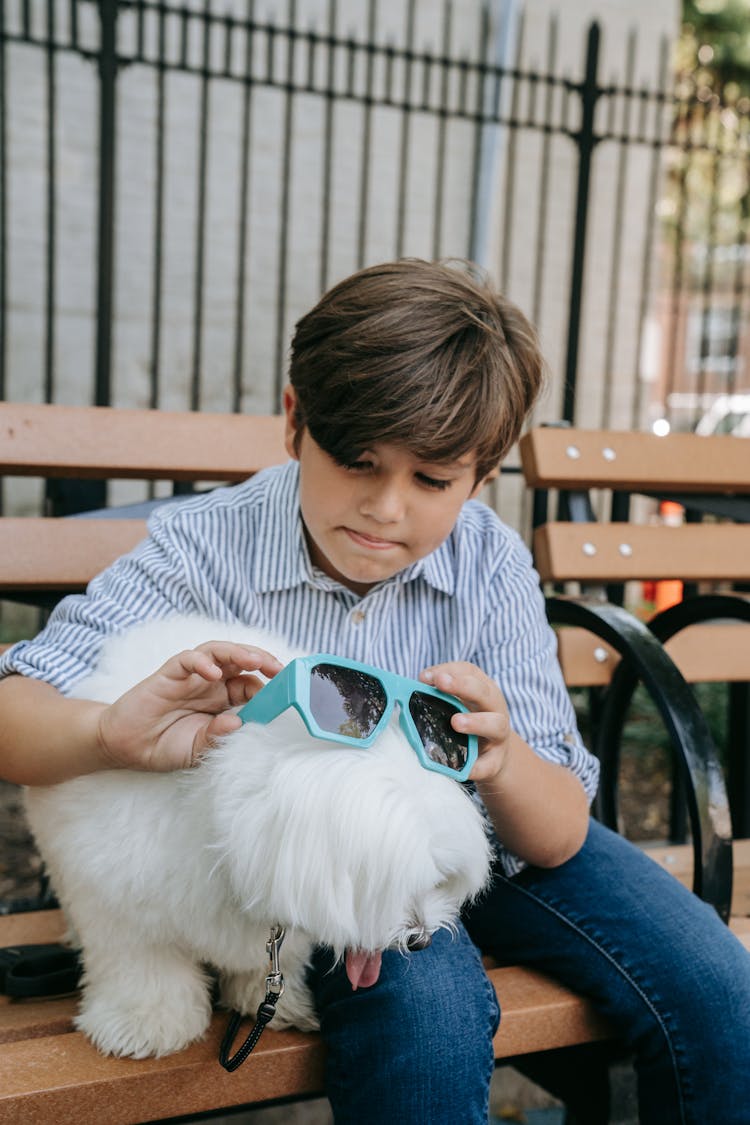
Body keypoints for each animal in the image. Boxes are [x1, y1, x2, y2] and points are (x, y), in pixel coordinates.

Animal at [24, 621, 492, 1057]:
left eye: (438, 879)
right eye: (379, 886)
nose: (422, 939)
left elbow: (264, 967)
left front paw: (268, 1005)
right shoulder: (122, 905)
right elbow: (144, 968)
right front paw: (147, 1024)